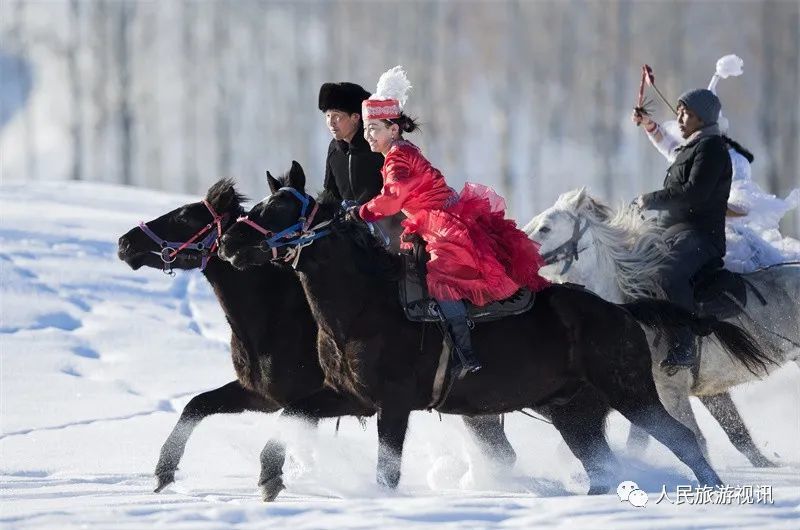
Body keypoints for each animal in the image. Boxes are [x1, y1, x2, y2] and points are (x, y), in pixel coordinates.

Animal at [117, 179, 520, 498]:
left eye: (184, 217)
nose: (124, 243)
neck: (273, 317)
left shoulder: (316, 399)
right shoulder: (262, 395)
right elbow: (196, 405)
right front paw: (163, 473)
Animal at [219, 163, 768, 492]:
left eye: (280, 208)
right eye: (259, 205)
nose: (228, 243)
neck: (364, 308)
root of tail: (623, 311)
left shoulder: (393, 406)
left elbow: (386, 470)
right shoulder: (349, 397)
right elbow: (289, 418)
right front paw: (268, 479)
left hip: (632, 393)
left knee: (684, 439)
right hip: (575, 411)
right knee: (603, 465)